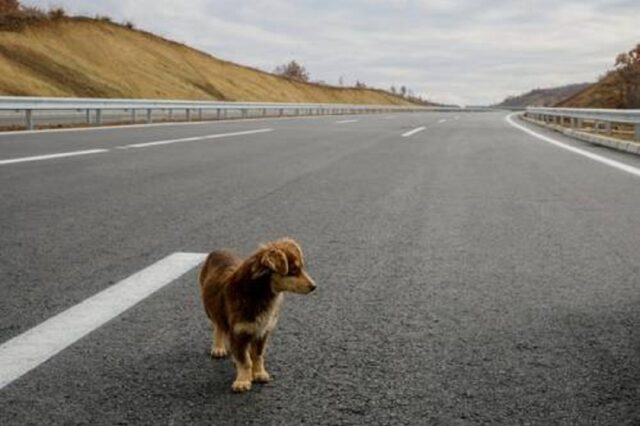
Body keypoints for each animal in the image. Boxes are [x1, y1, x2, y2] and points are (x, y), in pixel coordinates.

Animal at [196, 238, 314, 392]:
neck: (259, 294)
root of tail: (218, 250)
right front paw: (243, 381)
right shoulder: (238, 331)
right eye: (293, 270)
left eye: (301, 268)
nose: (314, 286)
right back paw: (218, 348)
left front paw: (259, 373)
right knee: (219, 326)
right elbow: (244, 360)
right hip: (211, 309)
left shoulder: (262, 331)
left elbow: (257, 355)